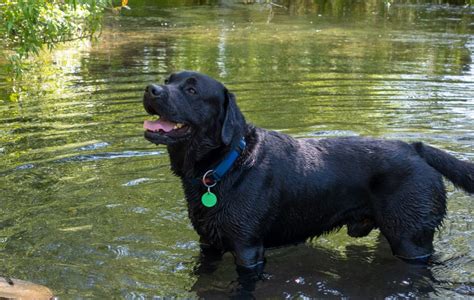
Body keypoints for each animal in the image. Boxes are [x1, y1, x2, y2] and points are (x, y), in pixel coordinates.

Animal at [142, 71, 474, 286]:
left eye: (192, 90)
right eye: (169, 80)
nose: (151, 89)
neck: (225, 166)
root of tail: (416, 148)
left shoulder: (248, 249)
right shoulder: (207, 244)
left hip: (411, 241)